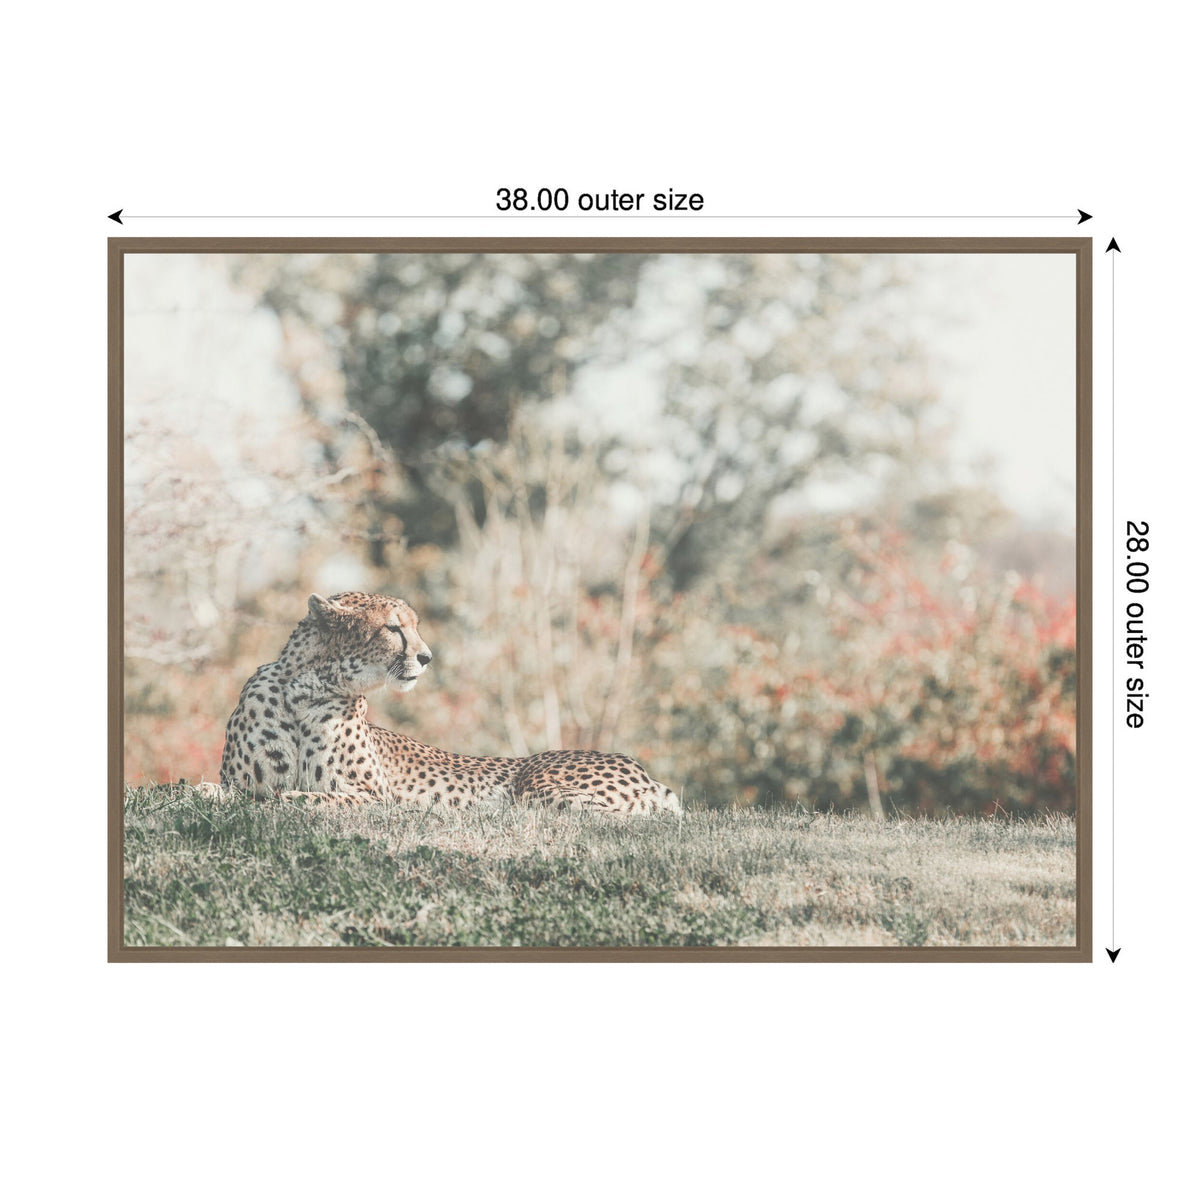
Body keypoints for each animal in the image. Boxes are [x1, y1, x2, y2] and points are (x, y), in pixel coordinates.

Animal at [217, 591, 682, 815]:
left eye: (415, 626)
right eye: (393, 629)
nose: (427, 657)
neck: (306, 689)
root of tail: (645, 771)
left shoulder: (375, 798)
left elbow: (299, 798)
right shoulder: (238, 782)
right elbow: (232, 792)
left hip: (538, 785)